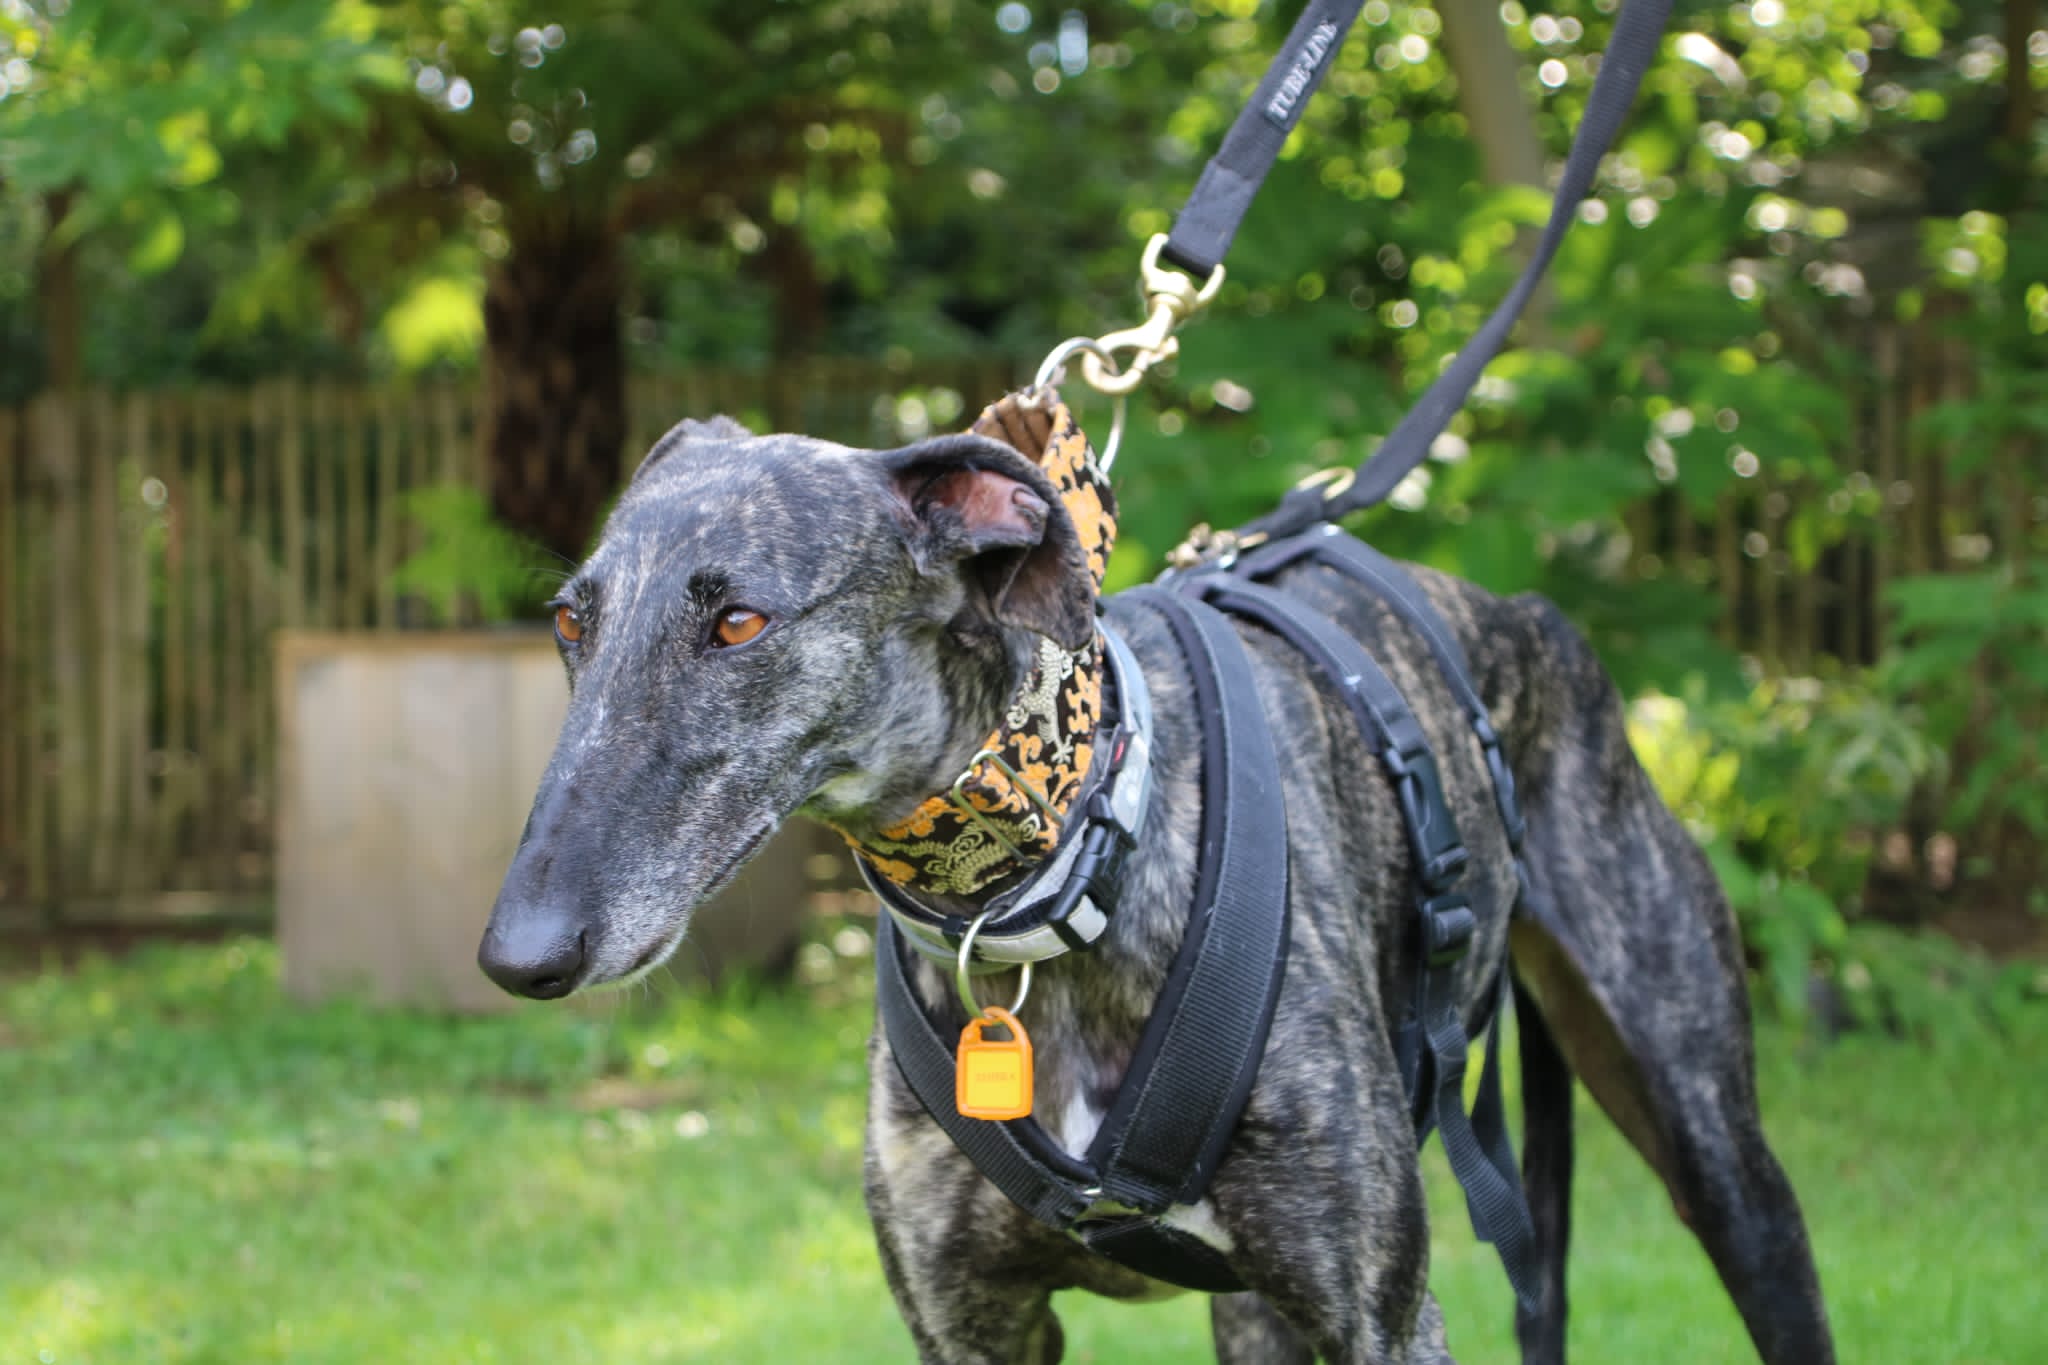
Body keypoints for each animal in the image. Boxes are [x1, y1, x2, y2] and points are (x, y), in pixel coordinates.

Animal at [478, 413, 1835, 1364]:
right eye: (568, 622)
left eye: (739, 625)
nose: (518, 956)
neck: (1049, 890)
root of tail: (1521, 610)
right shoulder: (971, 1327)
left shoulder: (1382, 1314)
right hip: (1258, 1314)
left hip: (1716, 1150)